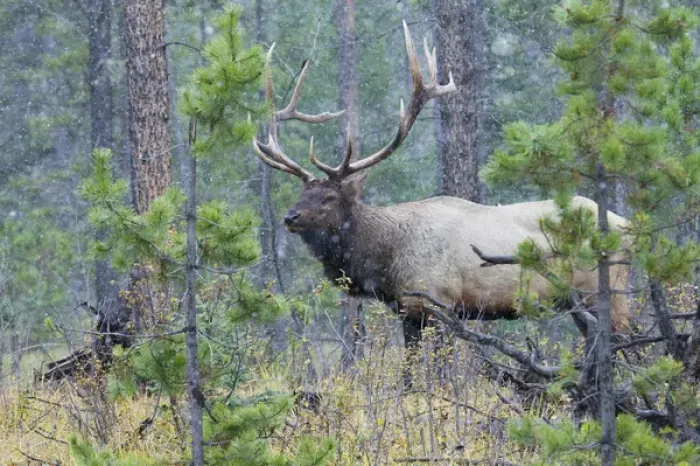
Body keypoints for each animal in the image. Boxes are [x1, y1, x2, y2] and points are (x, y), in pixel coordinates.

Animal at [253, 22, 630, 348]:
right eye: (302, 192)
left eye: (329, 197)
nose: (291, 217)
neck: (387, 261)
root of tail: (626, 224)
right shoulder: (408, 311)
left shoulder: (440, 304)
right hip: (576, 301)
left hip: (605, 292)